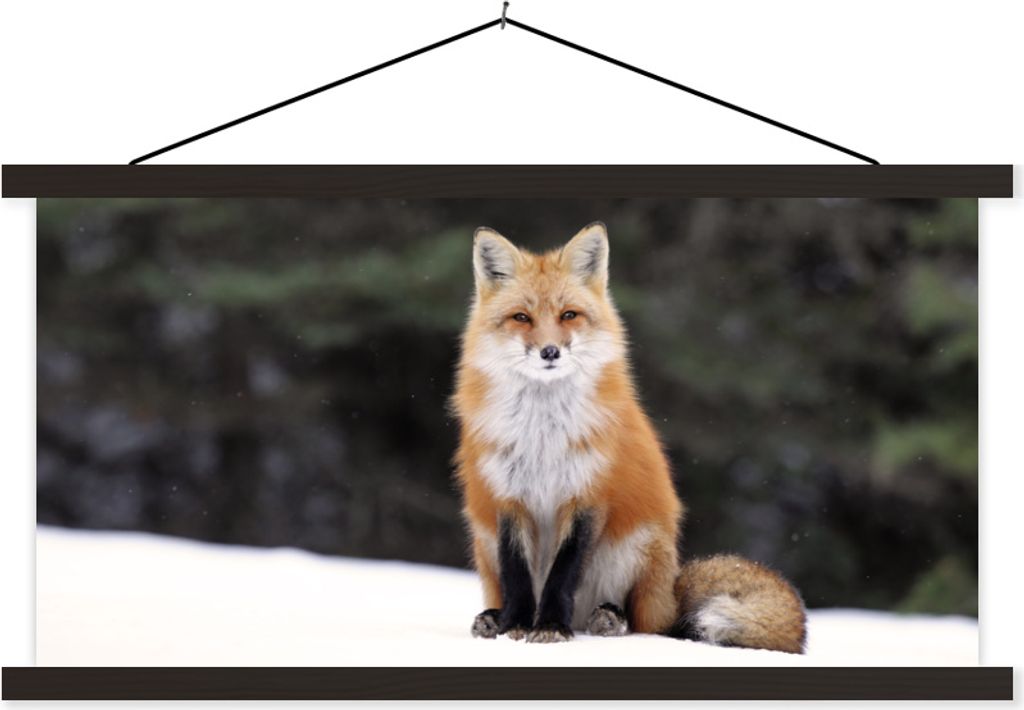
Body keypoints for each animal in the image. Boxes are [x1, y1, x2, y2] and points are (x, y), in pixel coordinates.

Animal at [451, 221, 806, 653]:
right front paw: (515, 627)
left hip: (637, 547)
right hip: (483, 541)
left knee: (644, 622)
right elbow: (517, 575)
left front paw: (550, 626)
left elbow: (563, 574)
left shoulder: (588, 495)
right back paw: (491, 618)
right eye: (522, 317)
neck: (544, 435)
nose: (550, 352)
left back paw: (608, 619)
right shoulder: (508, 496)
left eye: (568, 315)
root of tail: (670, 593)